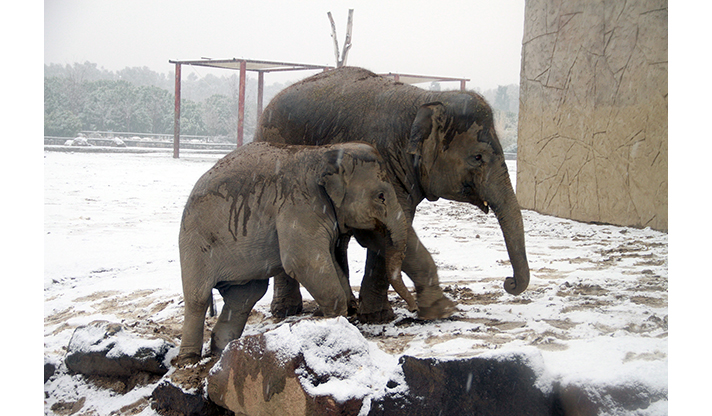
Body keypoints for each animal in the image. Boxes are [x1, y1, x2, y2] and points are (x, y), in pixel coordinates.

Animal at [178, 141, 412, 362]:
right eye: (380, 196)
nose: (414, 308)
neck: (326, 153)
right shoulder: (301, 206)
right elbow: (303, 261)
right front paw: (338, 320)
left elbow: (328, 260)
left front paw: (349, 305)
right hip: (195, 243)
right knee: (198, 298)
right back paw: (188, 359)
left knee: (245, 296)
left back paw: (221, 350)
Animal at [253, 67, 524, 322]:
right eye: (478, 157)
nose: (508, 281)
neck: (426, 99)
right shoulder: (381, 163)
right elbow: (380, 233)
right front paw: (427, 311)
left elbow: (394, 231)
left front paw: (382, 314)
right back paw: (287, 311)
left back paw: (345, 306)